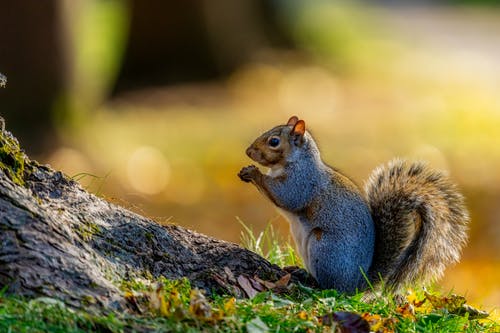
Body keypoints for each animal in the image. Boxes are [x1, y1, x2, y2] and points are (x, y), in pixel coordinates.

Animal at [238, 115, 468, 292]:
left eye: (274, 141)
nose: (248, 151)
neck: (295, 161)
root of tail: (356, 285)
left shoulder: (302, 181)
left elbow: (286, 196)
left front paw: (254, 173)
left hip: (325, 249)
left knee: (331, 287)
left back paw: (309, 279)